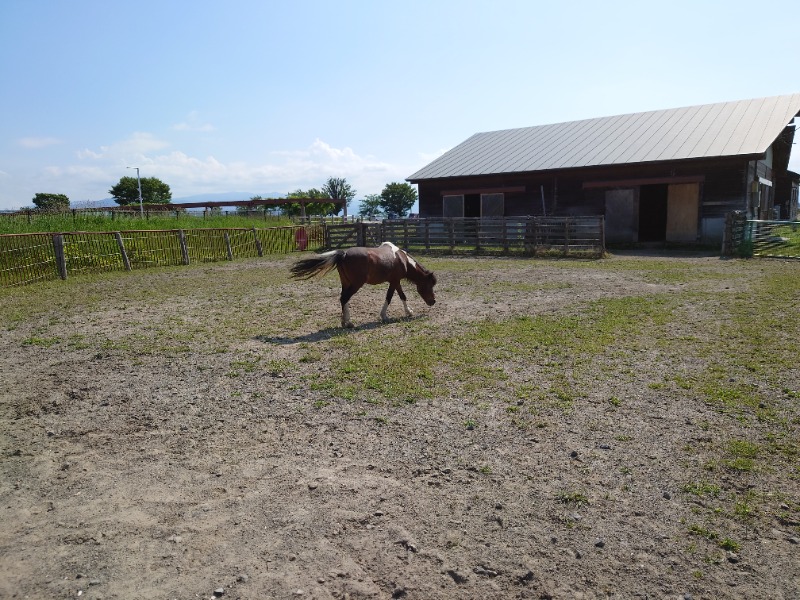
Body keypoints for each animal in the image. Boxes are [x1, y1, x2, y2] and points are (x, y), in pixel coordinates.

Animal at [290, 241, 438, 328]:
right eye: (429, 285)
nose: (433, 302)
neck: (402, 259)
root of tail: (344, 254)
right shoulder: (394, 281)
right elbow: (391, 297)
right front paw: (385, 316)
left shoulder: (395, 281)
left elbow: (401, 296)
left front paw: (408, 312)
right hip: (356, 284)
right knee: (344, 299)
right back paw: (348, 322)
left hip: (346, 283)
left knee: (343, 299)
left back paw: (344, 321)